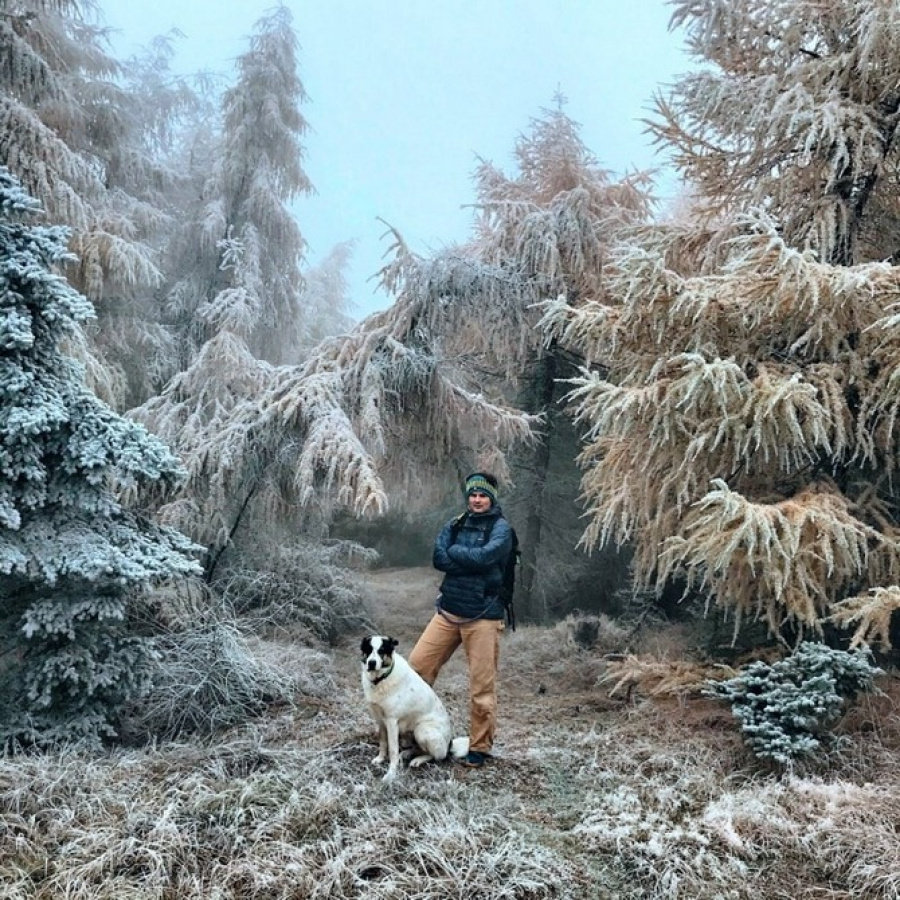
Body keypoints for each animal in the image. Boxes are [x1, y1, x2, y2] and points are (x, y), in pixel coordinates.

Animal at [360, 632, 472, 780]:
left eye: (382, 651)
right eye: (368, 650)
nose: (371, 663)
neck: (382, 679)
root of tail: (449, 744)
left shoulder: (391, 722)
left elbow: (393, 750)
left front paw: (391, 774)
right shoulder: (380, 720)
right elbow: (383, 743)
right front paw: (380, 758)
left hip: (422, 730)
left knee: (436, 756)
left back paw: (418, 760)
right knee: (417, 748)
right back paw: (406, 754)